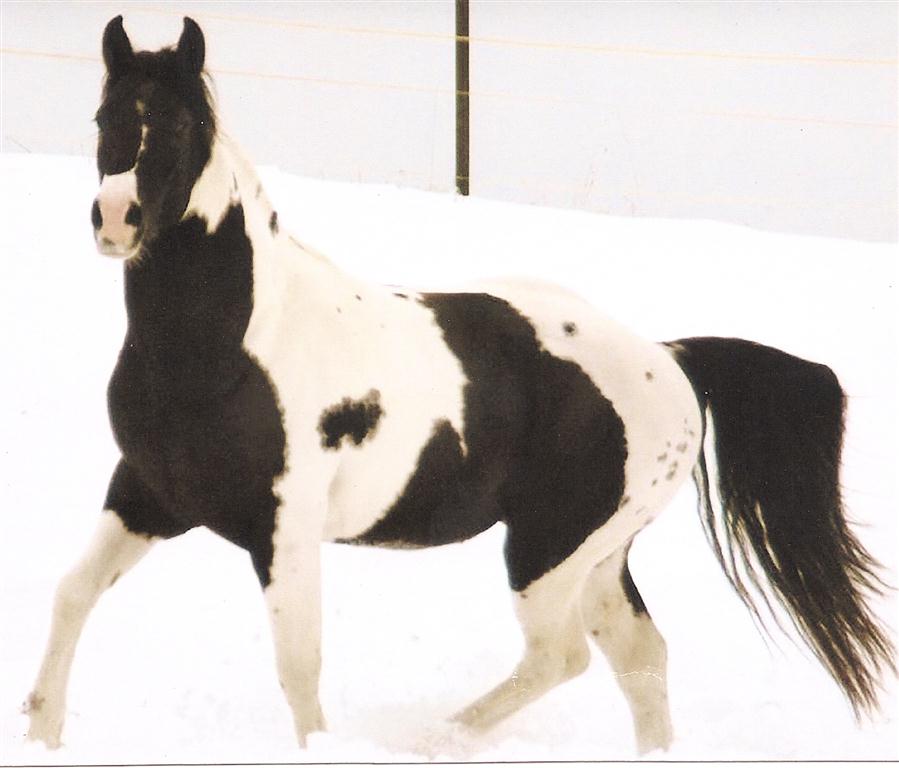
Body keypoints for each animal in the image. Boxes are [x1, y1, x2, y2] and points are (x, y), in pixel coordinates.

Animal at [24, 16, 895, 756]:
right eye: (103, 118)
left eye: (177, 126)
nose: (116, 219)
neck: (228, 348)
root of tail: (670, 360)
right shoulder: (145, 495)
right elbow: (70, 594)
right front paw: (41, 730)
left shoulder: (284, 531)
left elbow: (299, 667)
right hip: (597, 556)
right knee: (639, 657)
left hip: (547, 551)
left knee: (560, 657)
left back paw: (435, 738)